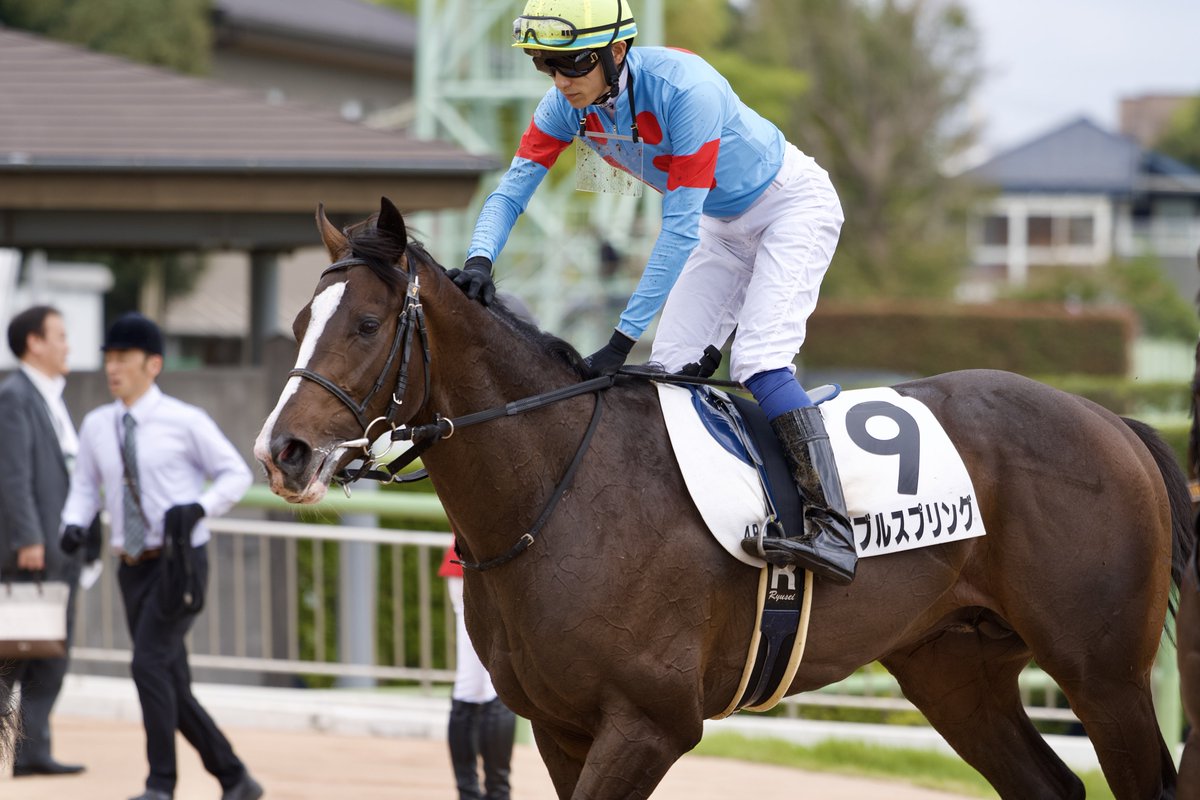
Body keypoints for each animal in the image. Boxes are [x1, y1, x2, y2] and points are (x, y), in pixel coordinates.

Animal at [256, 197, 1193, 799]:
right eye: (299, 320)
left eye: (366, 325)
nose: (283, 452)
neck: (557, 490)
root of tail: (1111, 419)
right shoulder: (560, 729)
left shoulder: (650, 723)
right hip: (955, 668)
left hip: (1103, 673)